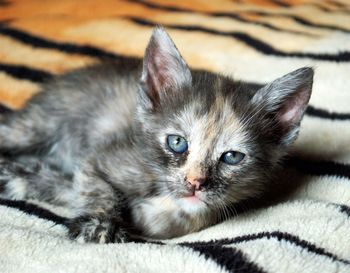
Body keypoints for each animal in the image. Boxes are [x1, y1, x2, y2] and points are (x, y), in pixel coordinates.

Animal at [0, 27, 314, 242]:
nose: (195, 183)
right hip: (37, 125)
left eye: (232, 157)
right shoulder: (99, 159)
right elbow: (98, 189)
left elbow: (199, 214)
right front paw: (101, 222)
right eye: (177, 143)